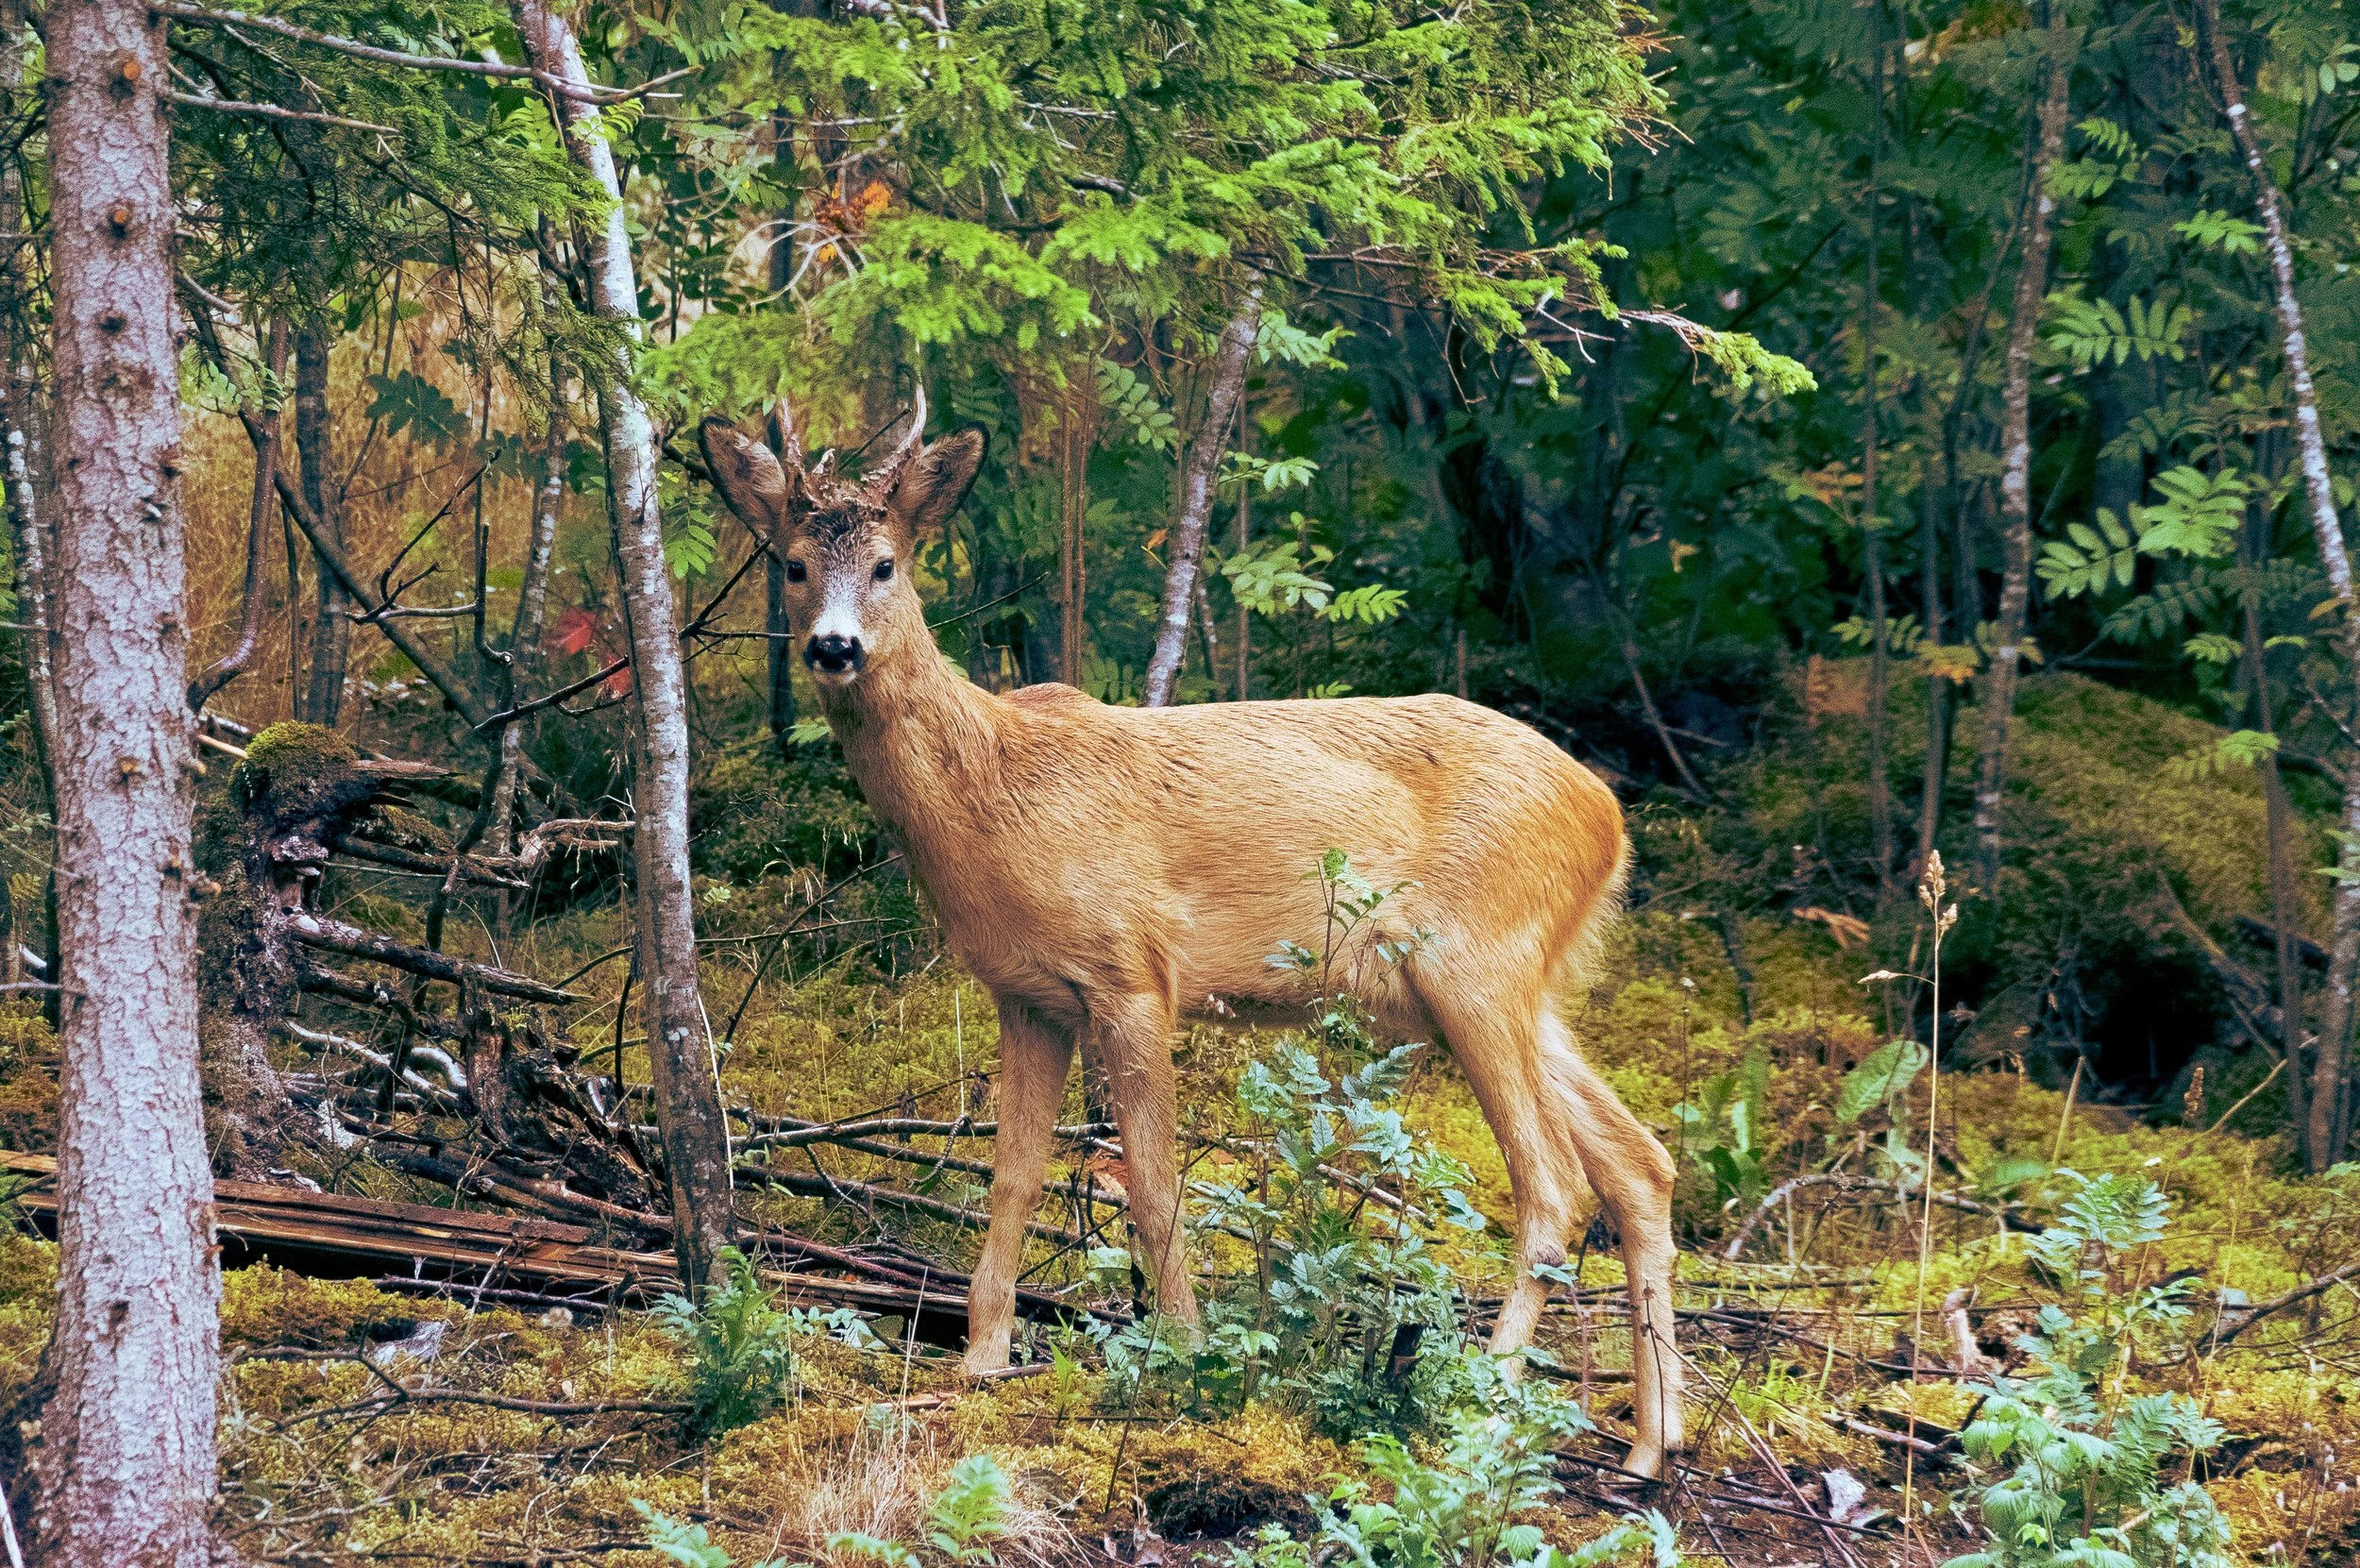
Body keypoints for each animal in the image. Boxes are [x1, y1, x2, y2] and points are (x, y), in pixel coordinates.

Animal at [700, 390, 1685, 1478]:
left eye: (886, 564)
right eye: (792, 564)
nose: (834, 648)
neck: (993, 795)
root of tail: (1607, 816)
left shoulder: (1131, 970)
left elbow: (1156, 1182)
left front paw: (1186, 1356)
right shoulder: (1027, 994)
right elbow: (1012, 1177)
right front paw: (983, 1360)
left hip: (1474, 962)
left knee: (1552, 1187)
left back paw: (1481, 1411)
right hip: (1518, 983)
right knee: (1640, 1163)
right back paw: (1650, 1446)